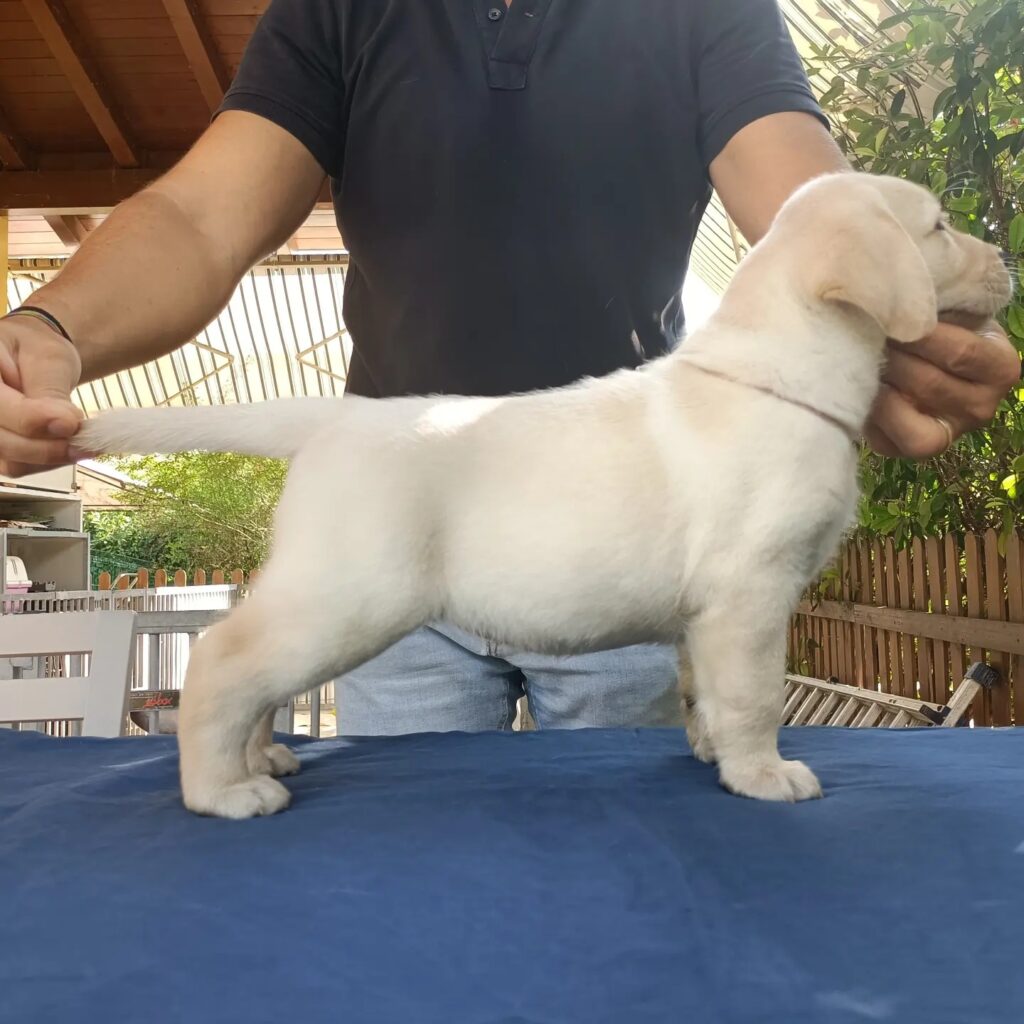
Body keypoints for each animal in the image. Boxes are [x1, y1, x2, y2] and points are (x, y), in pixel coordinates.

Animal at [77, 174, 1007, 815]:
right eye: (939, 227)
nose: (1004, 260)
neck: (781, 374)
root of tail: (331, 419)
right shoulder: (750, 592)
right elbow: (752, 695)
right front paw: (763, 775)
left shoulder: (706, 615)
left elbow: (706, 695)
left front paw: (714, 757)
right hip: (348, 596)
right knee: (223, 660)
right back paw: (223, 792)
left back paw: (259, 758)